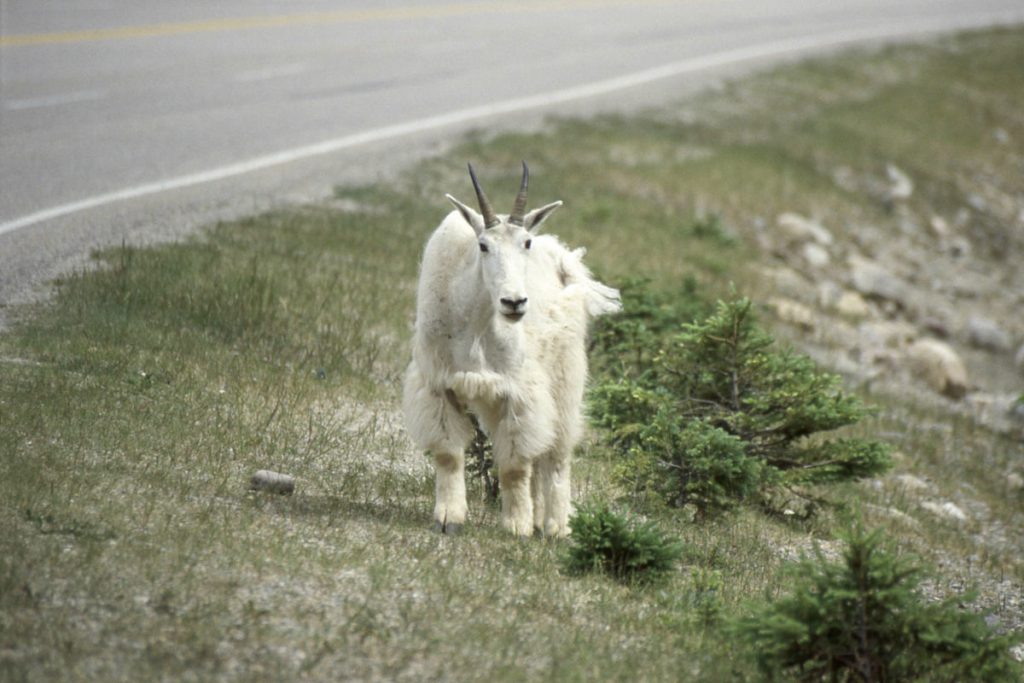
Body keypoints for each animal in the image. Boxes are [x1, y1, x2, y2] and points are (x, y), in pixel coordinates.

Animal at [403, 162, 618, 536]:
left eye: (525, 243)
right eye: (483, 246)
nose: (514, 302)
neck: (476, 322)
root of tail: (563, 258)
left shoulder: (518, 388)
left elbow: (515, 464)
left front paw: (516, 526)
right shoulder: (439, 383)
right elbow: (448, 453)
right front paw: (448, 518)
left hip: (565, 376)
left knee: (557, 454)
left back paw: (556, 526)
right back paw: (539, 518)